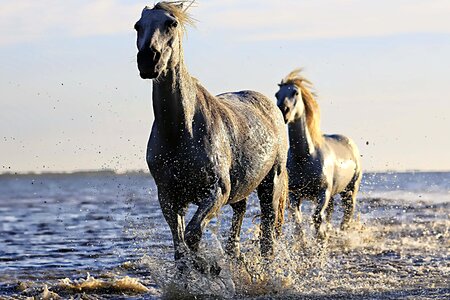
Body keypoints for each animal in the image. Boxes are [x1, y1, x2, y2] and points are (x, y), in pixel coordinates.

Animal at [134, 0, 288, 272]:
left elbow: (193, 235)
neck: (181, 132)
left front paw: (208, 269)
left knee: (268, 236)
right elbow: (180, 248)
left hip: (271, 185)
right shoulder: (169, 197)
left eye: (171, 23)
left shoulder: (216, 191)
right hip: (242, 188)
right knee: (239, 215)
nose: (148, 60)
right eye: (137, 26)